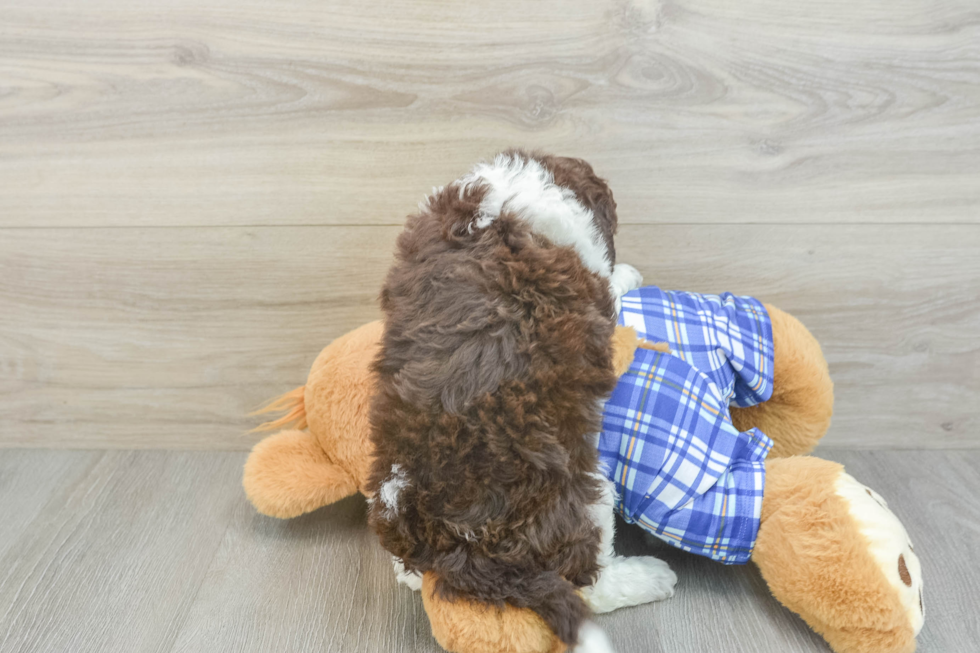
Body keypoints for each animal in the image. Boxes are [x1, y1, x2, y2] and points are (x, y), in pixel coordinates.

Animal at [368, 152, 660, 648]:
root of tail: (452, 538)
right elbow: (609, 278)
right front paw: (628, 274)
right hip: (579, 497)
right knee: (588, 583)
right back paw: (651, 577)